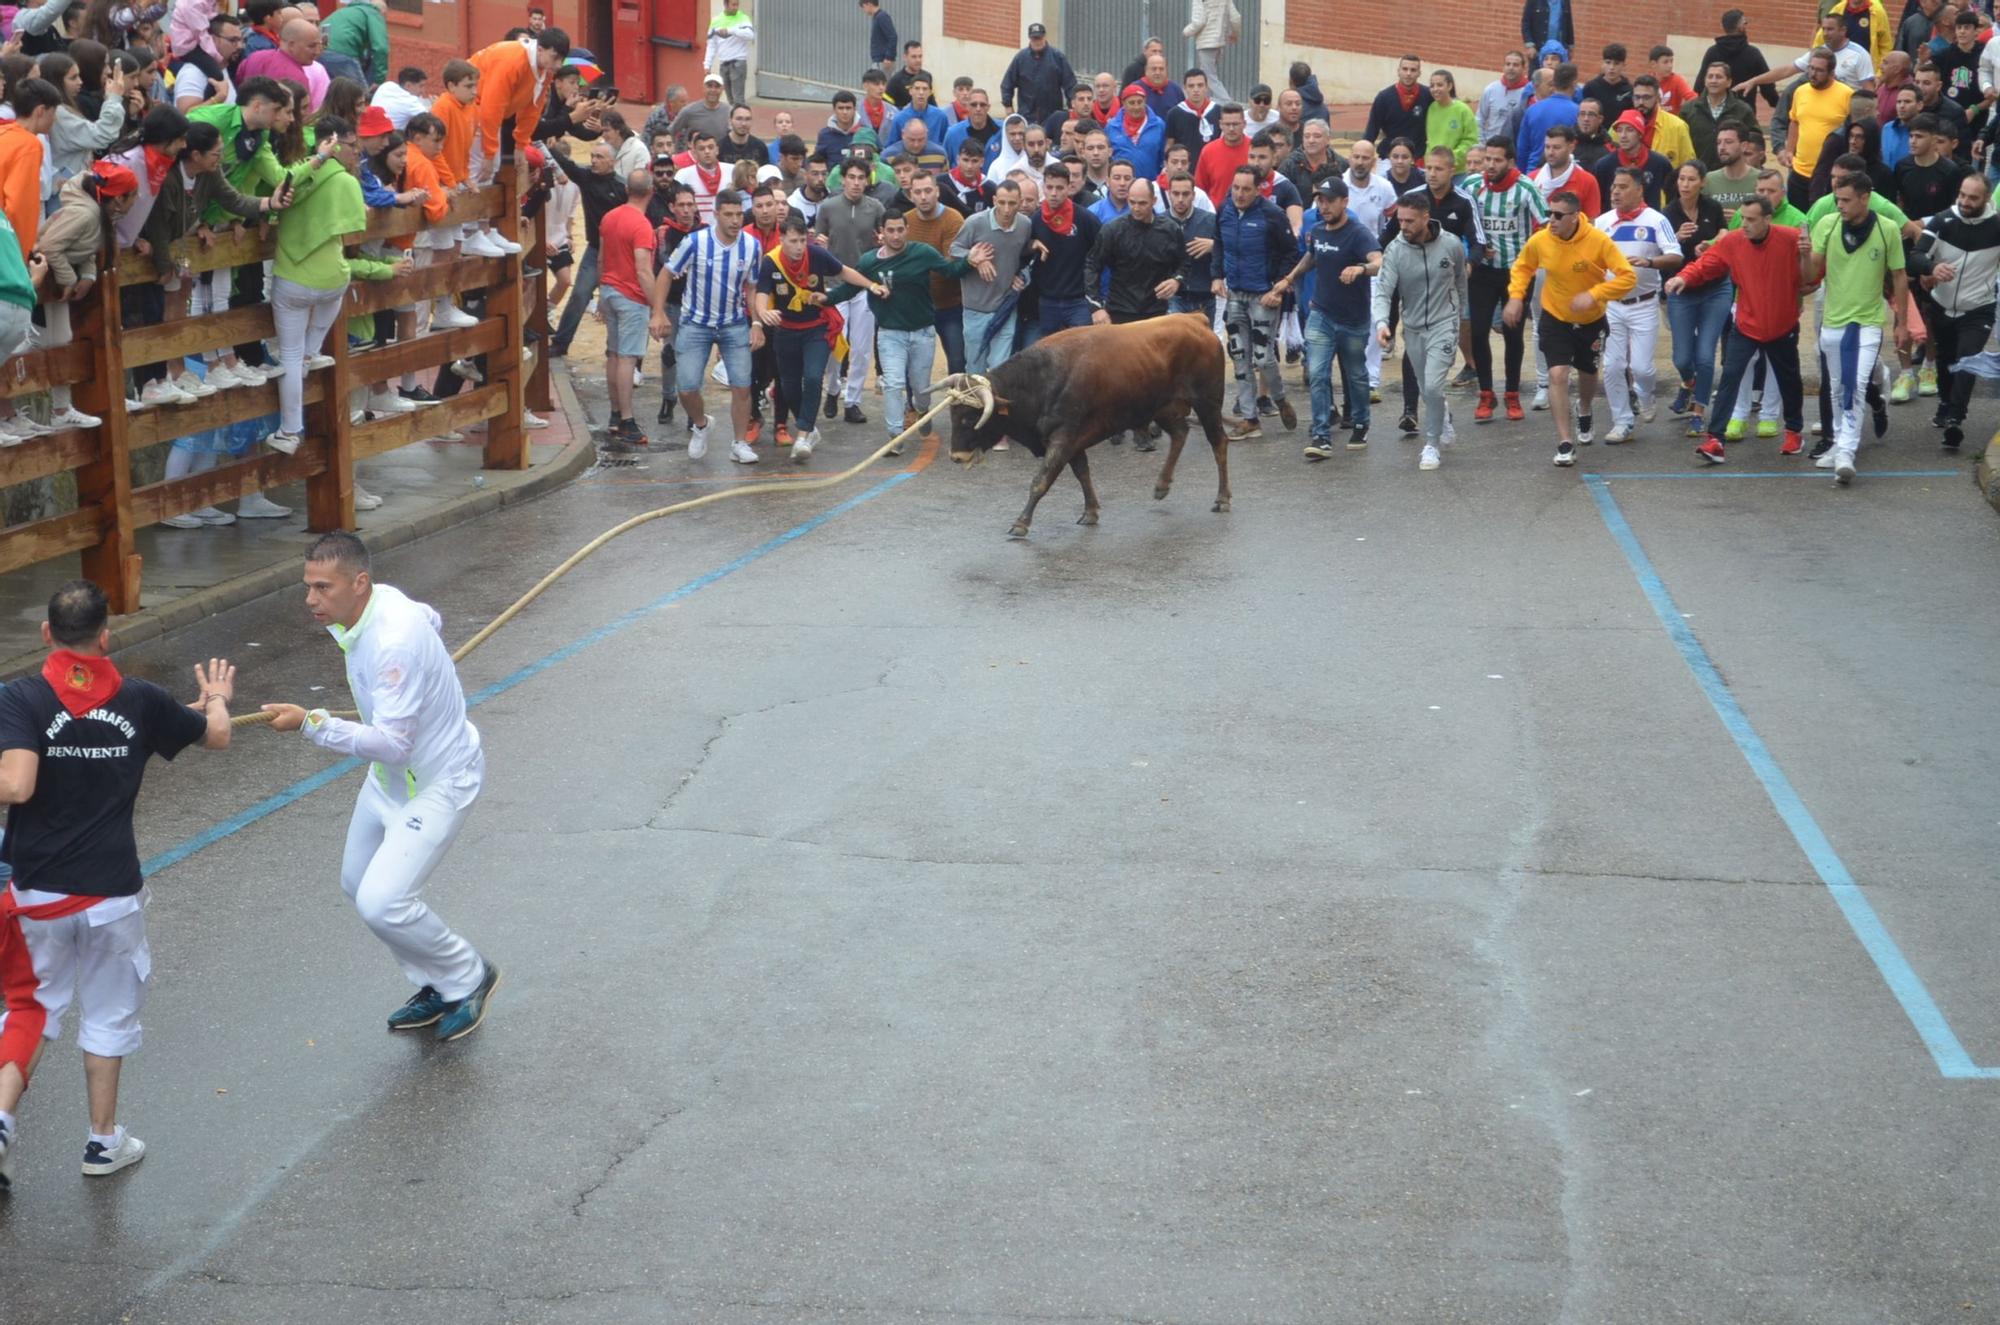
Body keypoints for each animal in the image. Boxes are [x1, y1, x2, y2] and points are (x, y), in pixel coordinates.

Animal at [940, 314, 1232, 536]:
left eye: (971, 418)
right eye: (953, 415)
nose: (956, 456)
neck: (1041, 379)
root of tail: (1196, 320)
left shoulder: (1063, 437)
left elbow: (1042, 479)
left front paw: (1021, 523)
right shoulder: (1072, 441)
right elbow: (1082, 472)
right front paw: (1090, 512)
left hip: (1208, 403)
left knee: (1219, 442)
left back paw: (1222, 498)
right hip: (1163, 408)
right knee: (1181, 433)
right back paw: (1161, 486)